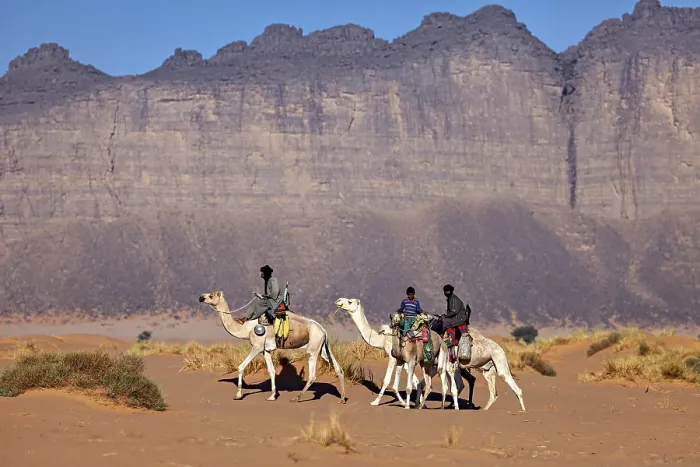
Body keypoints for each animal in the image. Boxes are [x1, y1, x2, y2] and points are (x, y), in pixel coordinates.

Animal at [198, 290, 347, 404]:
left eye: (211, 295)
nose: (200, 297)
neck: (245, 328)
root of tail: (323, 329)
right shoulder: (265, 350)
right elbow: (272, 371)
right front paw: (272, 396)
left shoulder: (257, 346)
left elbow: (240, 367)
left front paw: (238, 395)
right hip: (323, 348)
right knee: (338, 369)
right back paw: (342, 399)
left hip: (313, 349)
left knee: (312, 375)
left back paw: (297, 398)